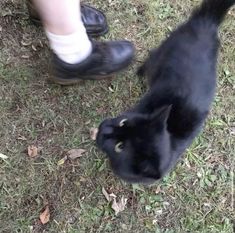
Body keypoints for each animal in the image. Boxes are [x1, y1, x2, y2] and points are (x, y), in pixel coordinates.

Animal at [96, 0, 235, 184]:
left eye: (120, 147)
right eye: (123, 123)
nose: (105, 129)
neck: (171, 139)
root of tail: (207, 23)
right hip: (161, 54)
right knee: (150, 59)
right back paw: (140, 73)